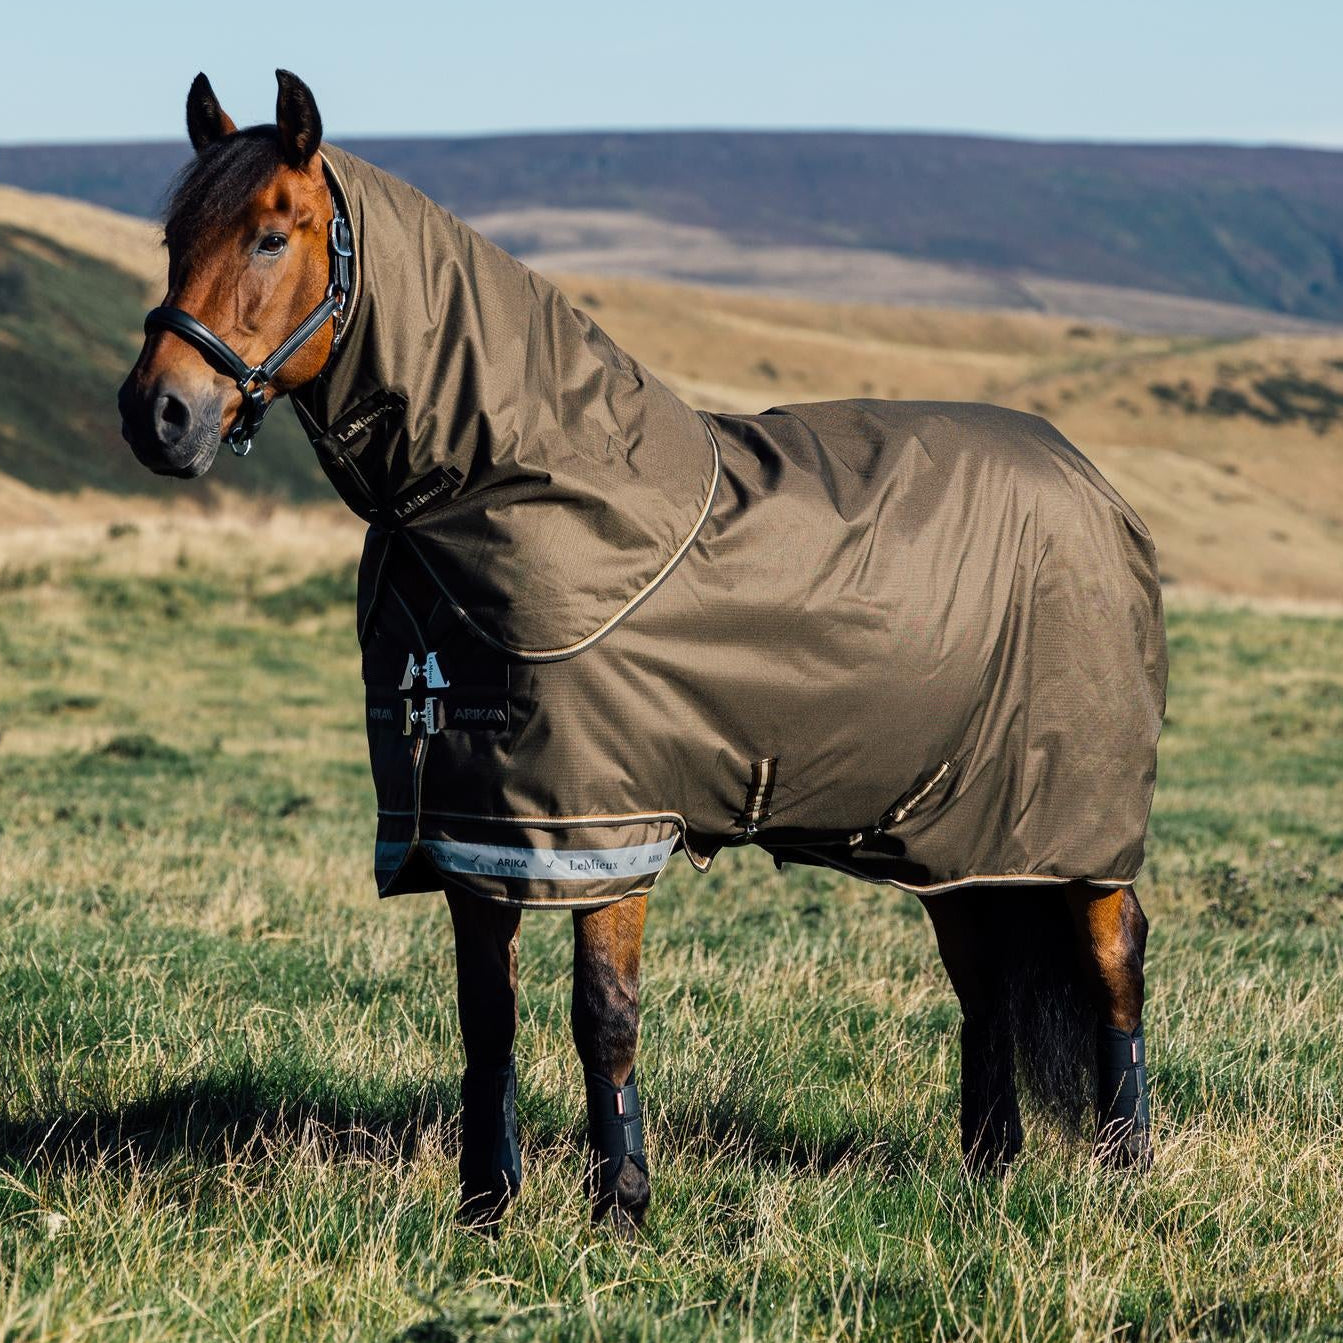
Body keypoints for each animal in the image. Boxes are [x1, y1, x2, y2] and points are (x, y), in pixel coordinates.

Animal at [118, 70, 1164, 1233]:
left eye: (269, 235)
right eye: (173, 236)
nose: (158, 415)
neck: (524, 484)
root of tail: (1092, 486)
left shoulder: (604, 828)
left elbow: (602, 1016)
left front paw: (620, 1200)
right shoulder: (475, 834)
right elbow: (487, 1021)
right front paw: (485, 1204)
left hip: (1074, 819)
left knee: (1113, 960)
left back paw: (1124, 1162)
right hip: (957, 824)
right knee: (982, 975)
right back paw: (987, 1161)